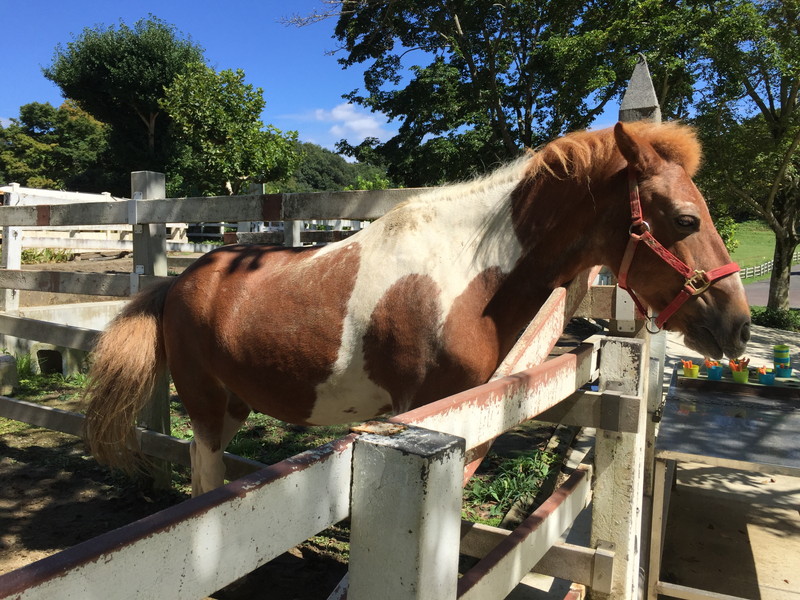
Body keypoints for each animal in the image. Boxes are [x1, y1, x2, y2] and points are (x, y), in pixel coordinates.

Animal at [83, 119, 752, 494]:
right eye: (685, 219)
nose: (738, 325)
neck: (469, 279)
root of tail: (179, 283)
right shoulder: (429, 413)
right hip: (205, 411)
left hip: (233, 407)